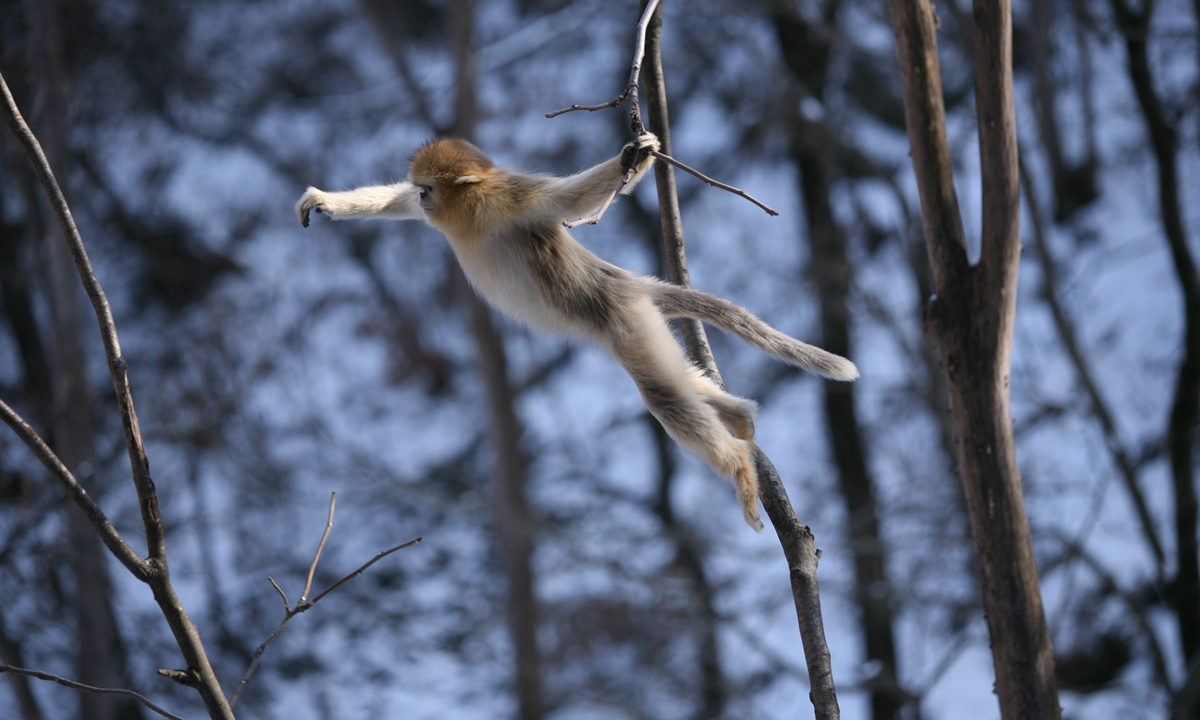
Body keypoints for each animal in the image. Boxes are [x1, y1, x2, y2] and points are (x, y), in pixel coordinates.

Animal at [296, 134, 857, 530]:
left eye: (430, 187)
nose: (426, 200)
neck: (470, 216)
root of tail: (623, 282)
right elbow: (396, 204)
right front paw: (326, 200)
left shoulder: (514, 199)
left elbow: (571, 200)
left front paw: (635, 155)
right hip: (638, 327)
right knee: (681, 385)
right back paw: (739, 415)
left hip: (627, 324)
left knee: (662, 395)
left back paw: (740, 466)